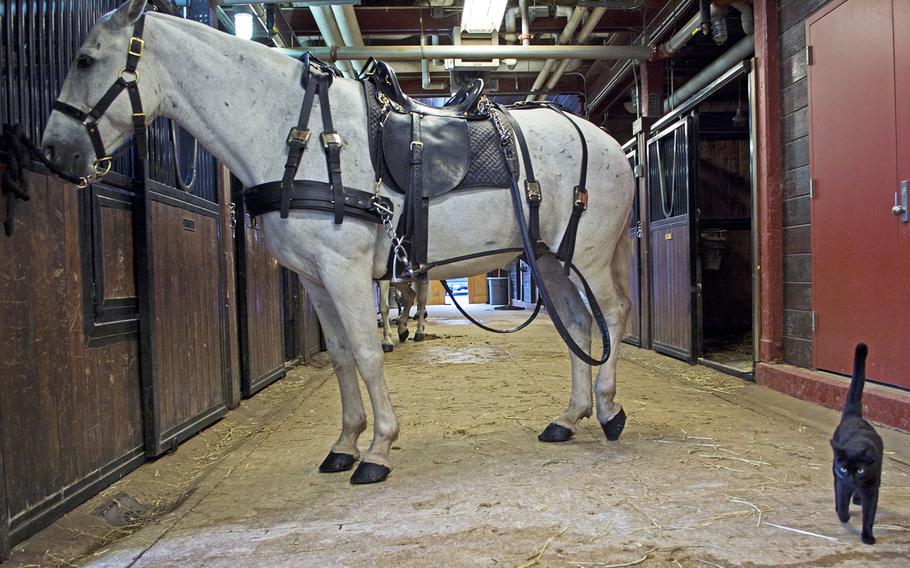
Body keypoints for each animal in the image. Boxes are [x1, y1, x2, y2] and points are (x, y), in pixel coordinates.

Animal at [42, 0, 636, 486]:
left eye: (86, 60)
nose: (53, 151)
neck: (298, 134)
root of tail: (606, 140)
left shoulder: (345, 270)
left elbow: (370, 354)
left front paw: (378, 450)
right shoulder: (314, 276)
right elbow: (342, 358)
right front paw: (345, 444)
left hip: (585, 259)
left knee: (611, 313)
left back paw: (609, 412)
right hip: (552, 262)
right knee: (578, 326)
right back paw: (568, 419)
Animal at [832, 344, 884, 544]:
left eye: (860, 470)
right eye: (845, 469)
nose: (851, 478)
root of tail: (854, 416)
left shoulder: (872, 489)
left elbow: (869, 515)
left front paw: (867, 536)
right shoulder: (841, 481)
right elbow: (841, 501)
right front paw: (843, 516)